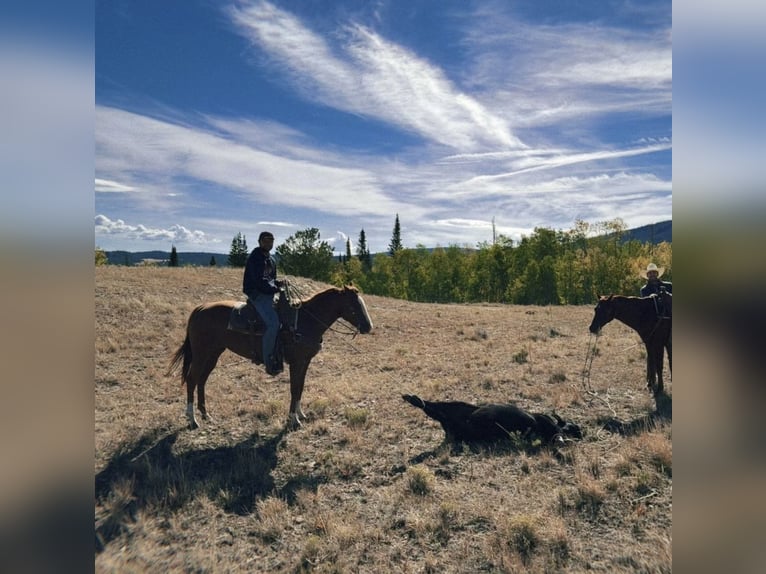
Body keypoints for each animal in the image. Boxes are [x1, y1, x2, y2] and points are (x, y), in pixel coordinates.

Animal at [166, 285, 373, 429]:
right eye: (353, 305)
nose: (368, 327)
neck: (304, 321)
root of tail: (199, 309)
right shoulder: (296, 362)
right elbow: (293, 388)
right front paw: (293, 420)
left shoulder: (305, 362)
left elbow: (300, 387)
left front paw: (300, 414)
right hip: (201, 353)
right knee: (192, 379)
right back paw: (192, 419)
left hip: (213, 353)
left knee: (202, 379)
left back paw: (205, 414)